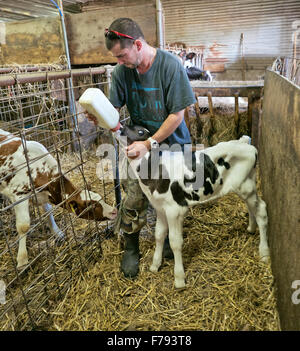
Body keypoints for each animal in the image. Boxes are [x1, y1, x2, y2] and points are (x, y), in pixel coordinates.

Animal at [0, 130, 117, 270]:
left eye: (100, 197)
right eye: (90, 205)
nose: (114, 211)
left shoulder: (43, 195)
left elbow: (48, 212)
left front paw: (58, 233)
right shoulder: (19, 195)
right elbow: (23, 226)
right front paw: (22, 260)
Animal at [117, 126, 270, 288]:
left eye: (140, 132)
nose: (122, 127)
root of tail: (243, 142)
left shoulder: (175, 210)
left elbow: (175, 242)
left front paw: (179, 279)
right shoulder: (160, 208)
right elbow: (159, 235)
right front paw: (155, 265)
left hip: (246, 186)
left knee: (261, 210)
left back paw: (264, 252)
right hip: (245, 186)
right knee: (251, 207)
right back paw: (251, 228)